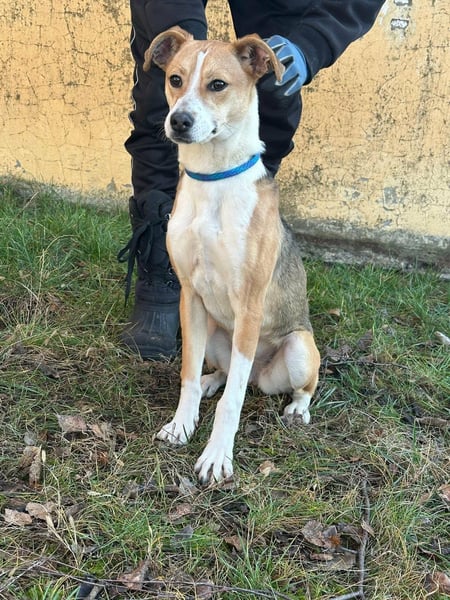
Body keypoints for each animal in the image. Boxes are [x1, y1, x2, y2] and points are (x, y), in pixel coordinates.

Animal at [144, 27, 320, 485]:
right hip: (213, 333)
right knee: (225, 372)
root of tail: (263, 373)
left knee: (293, 386)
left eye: (218, 85)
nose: (179, 121)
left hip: (298, 349)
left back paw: (297, 410)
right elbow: (187, 375)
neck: (213, 179)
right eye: (175, 79)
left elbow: (234, 400)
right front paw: (182, 424)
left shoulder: (250, 305)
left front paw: (216, 455)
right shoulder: (190, 296)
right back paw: (212, 381)